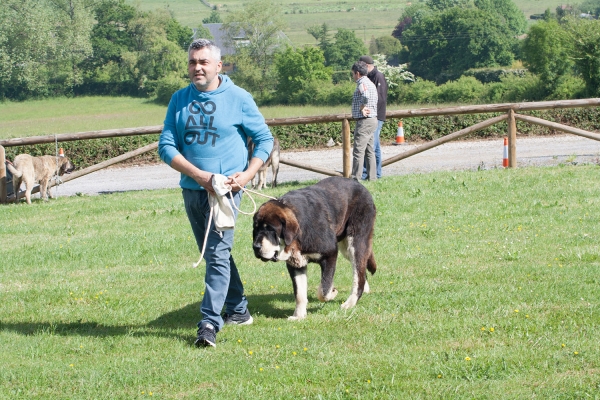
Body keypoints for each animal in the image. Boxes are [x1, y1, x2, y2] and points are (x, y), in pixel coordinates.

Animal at [252, 177, 376, 320]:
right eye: (256, 229)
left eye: (270, 229)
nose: (256, 246)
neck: (298, 236)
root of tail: (357, 182)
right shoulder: (296, 265)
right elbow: (300, 294)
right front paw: (299, 316)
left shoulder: (330, 254)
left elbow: (324, 289)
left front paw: (332, 292)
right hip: (346, 248)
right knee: (361, 269)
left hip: (355, 242)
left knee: (358, 272)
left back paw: (350, 303)